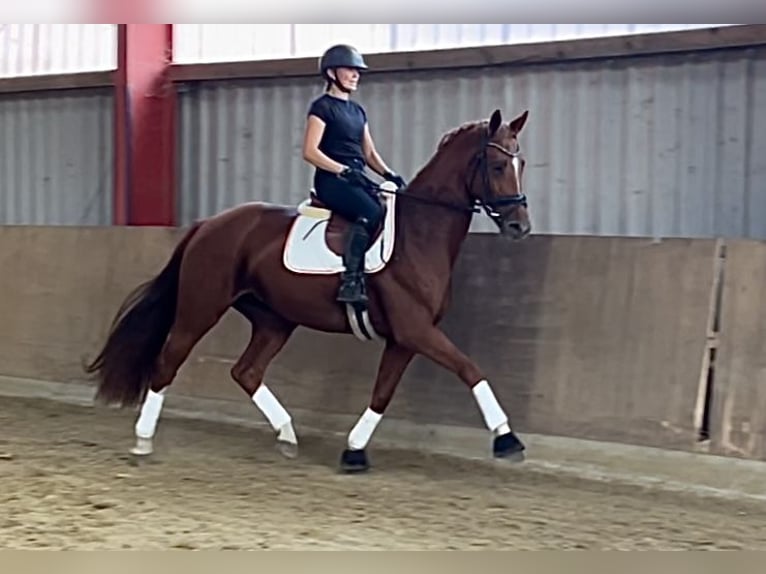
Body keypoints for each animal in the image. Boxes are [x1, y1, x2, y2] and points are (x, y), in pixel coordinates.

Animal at [84, 107, 536, 472]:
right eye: (498, 165)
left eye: (522, 162)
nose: (520, 227)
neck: (419, 234)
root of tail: (209, 225)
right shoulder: (417, 331)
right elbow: (470, 369)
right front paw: (507, 439)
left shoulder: (405, 339)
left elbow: (383, 393)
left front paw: (354, 451)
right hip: (201, 307)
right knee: (168, 362)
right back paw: (143, 442)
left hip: (273, 319)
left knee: (246, 371)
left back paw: (286, 434)